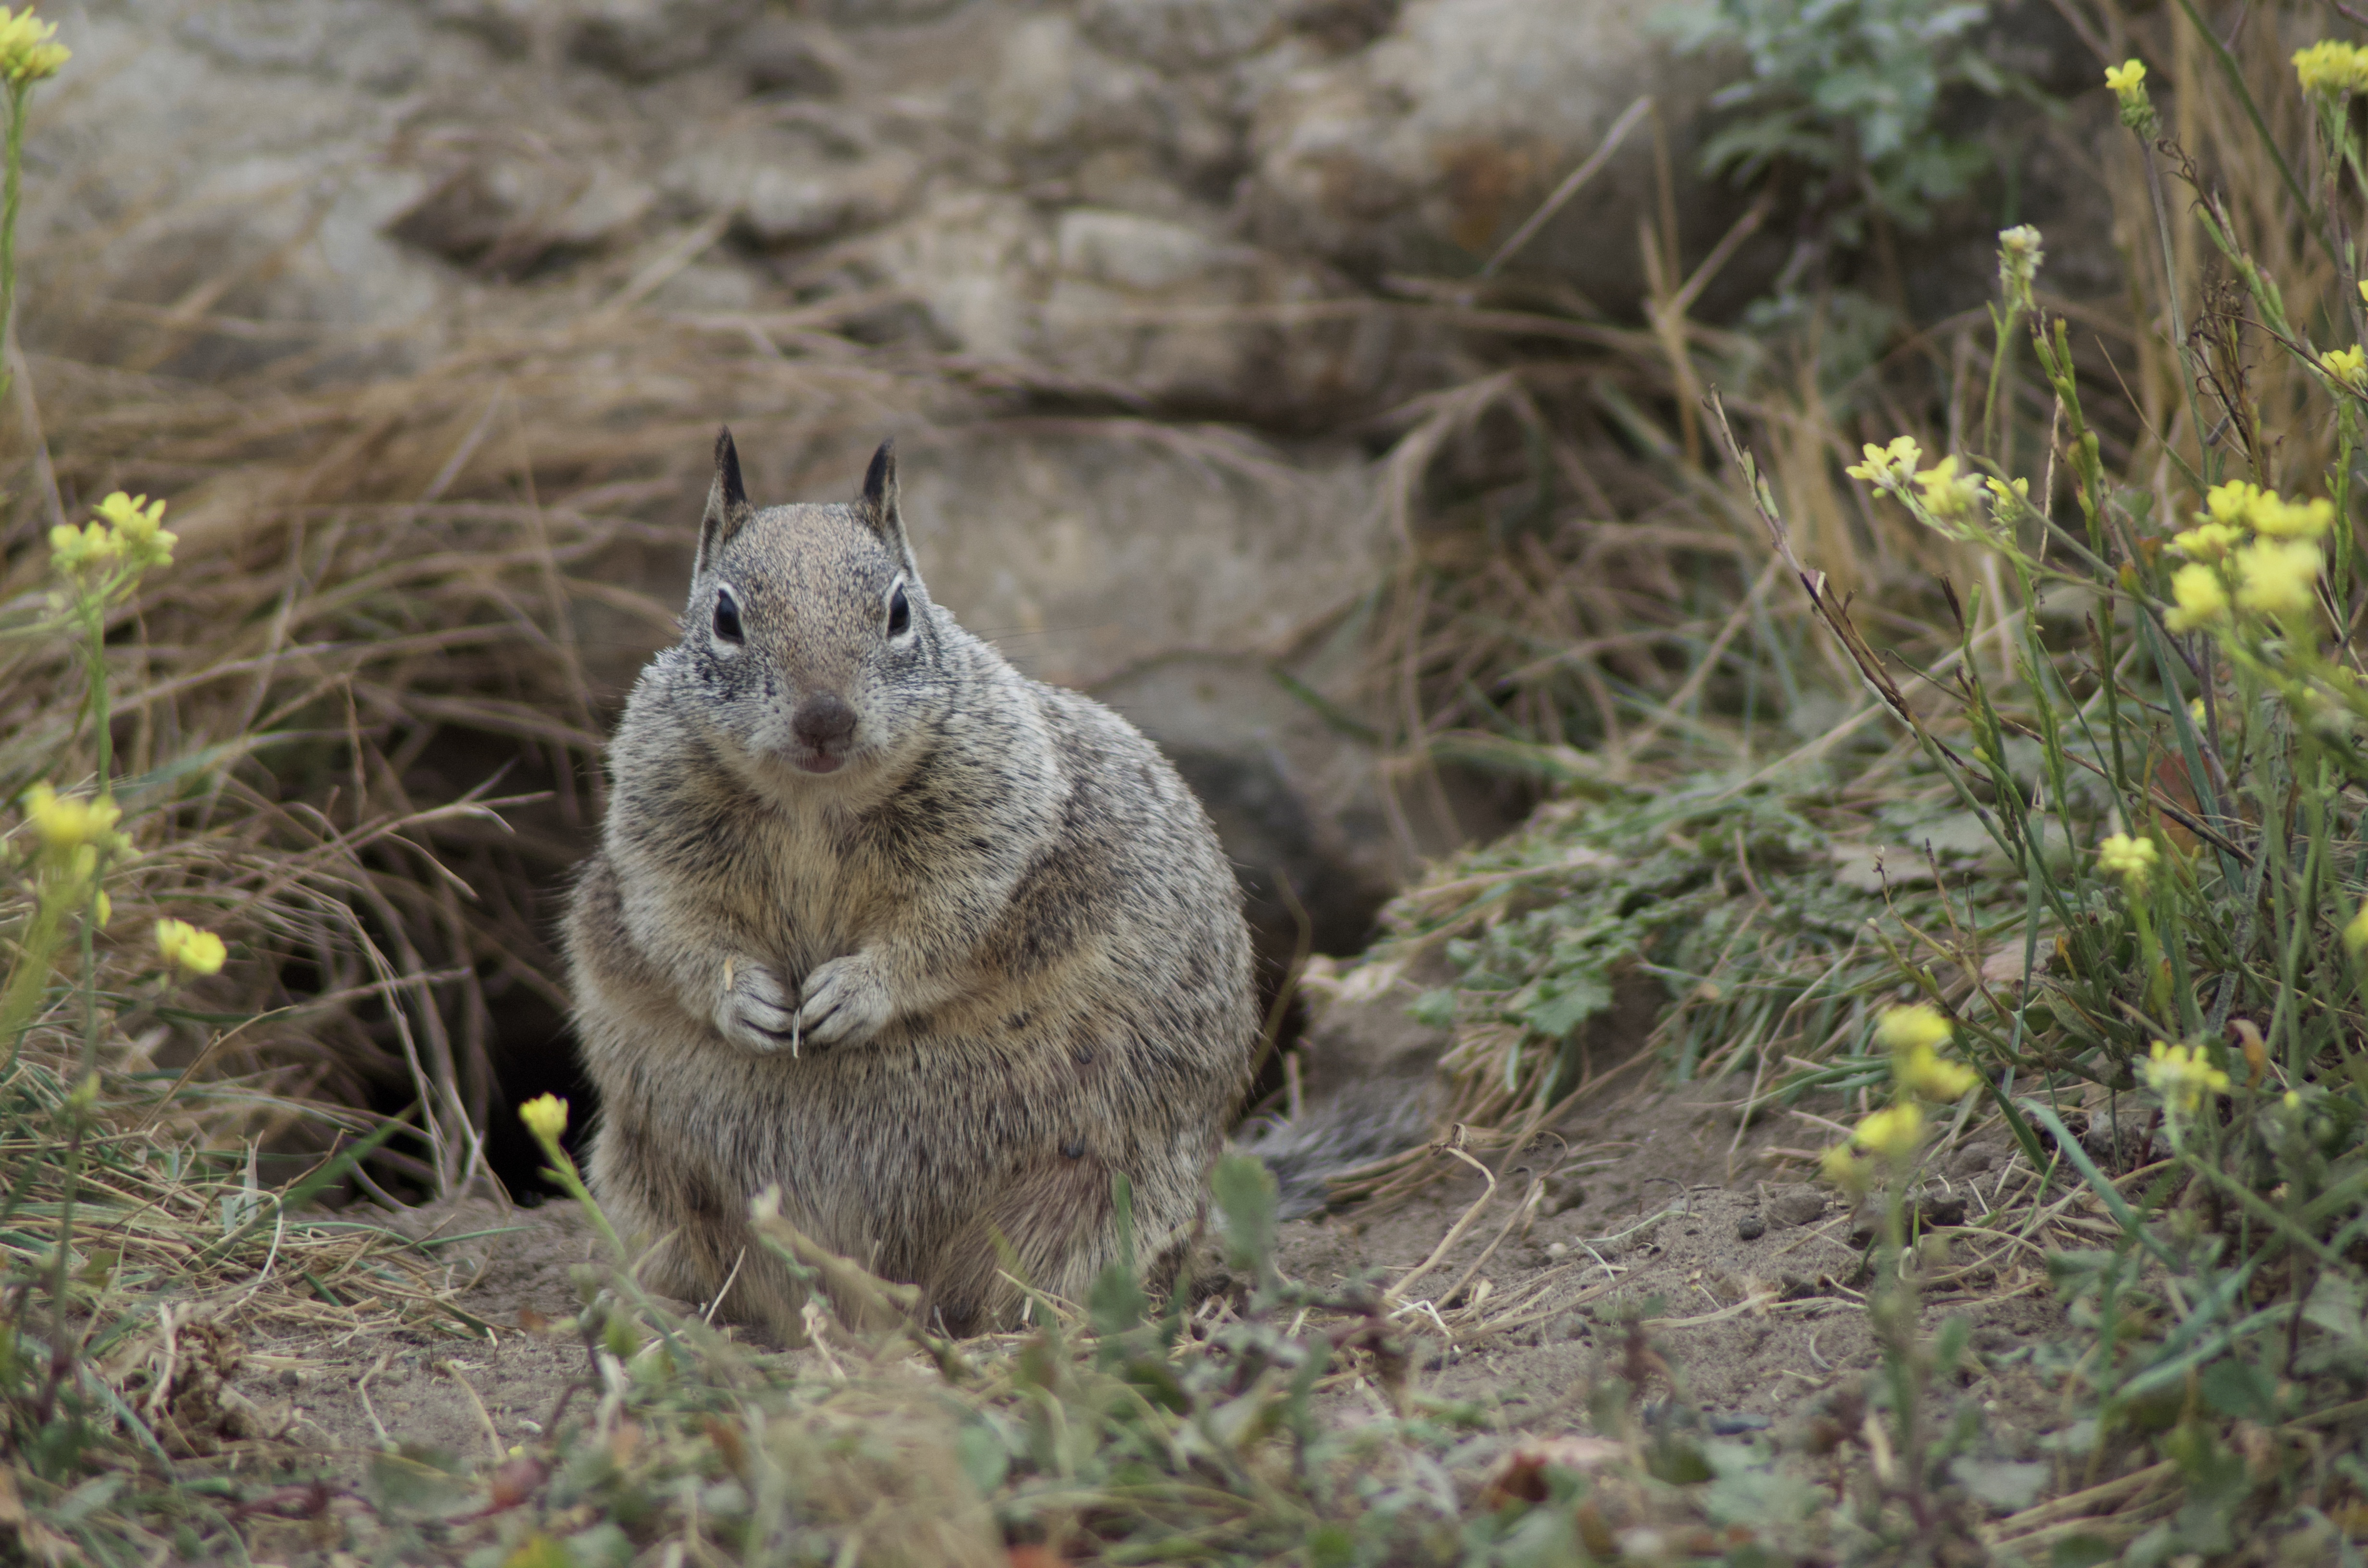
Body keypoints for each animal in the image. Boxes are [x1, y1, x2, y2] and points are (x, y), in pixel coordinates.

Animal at [566, 431, 1269, 1335]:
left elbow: (946, 921)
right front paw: (742, 999)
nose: (825, 717)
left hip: (1106, 1196)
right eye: (724, 617)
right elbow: (677, 924)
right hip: (645, 1181)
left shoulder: (992, 820)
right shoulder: (653, 828)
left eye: (899, 612)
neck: (814, 800)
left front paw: (857, 992)